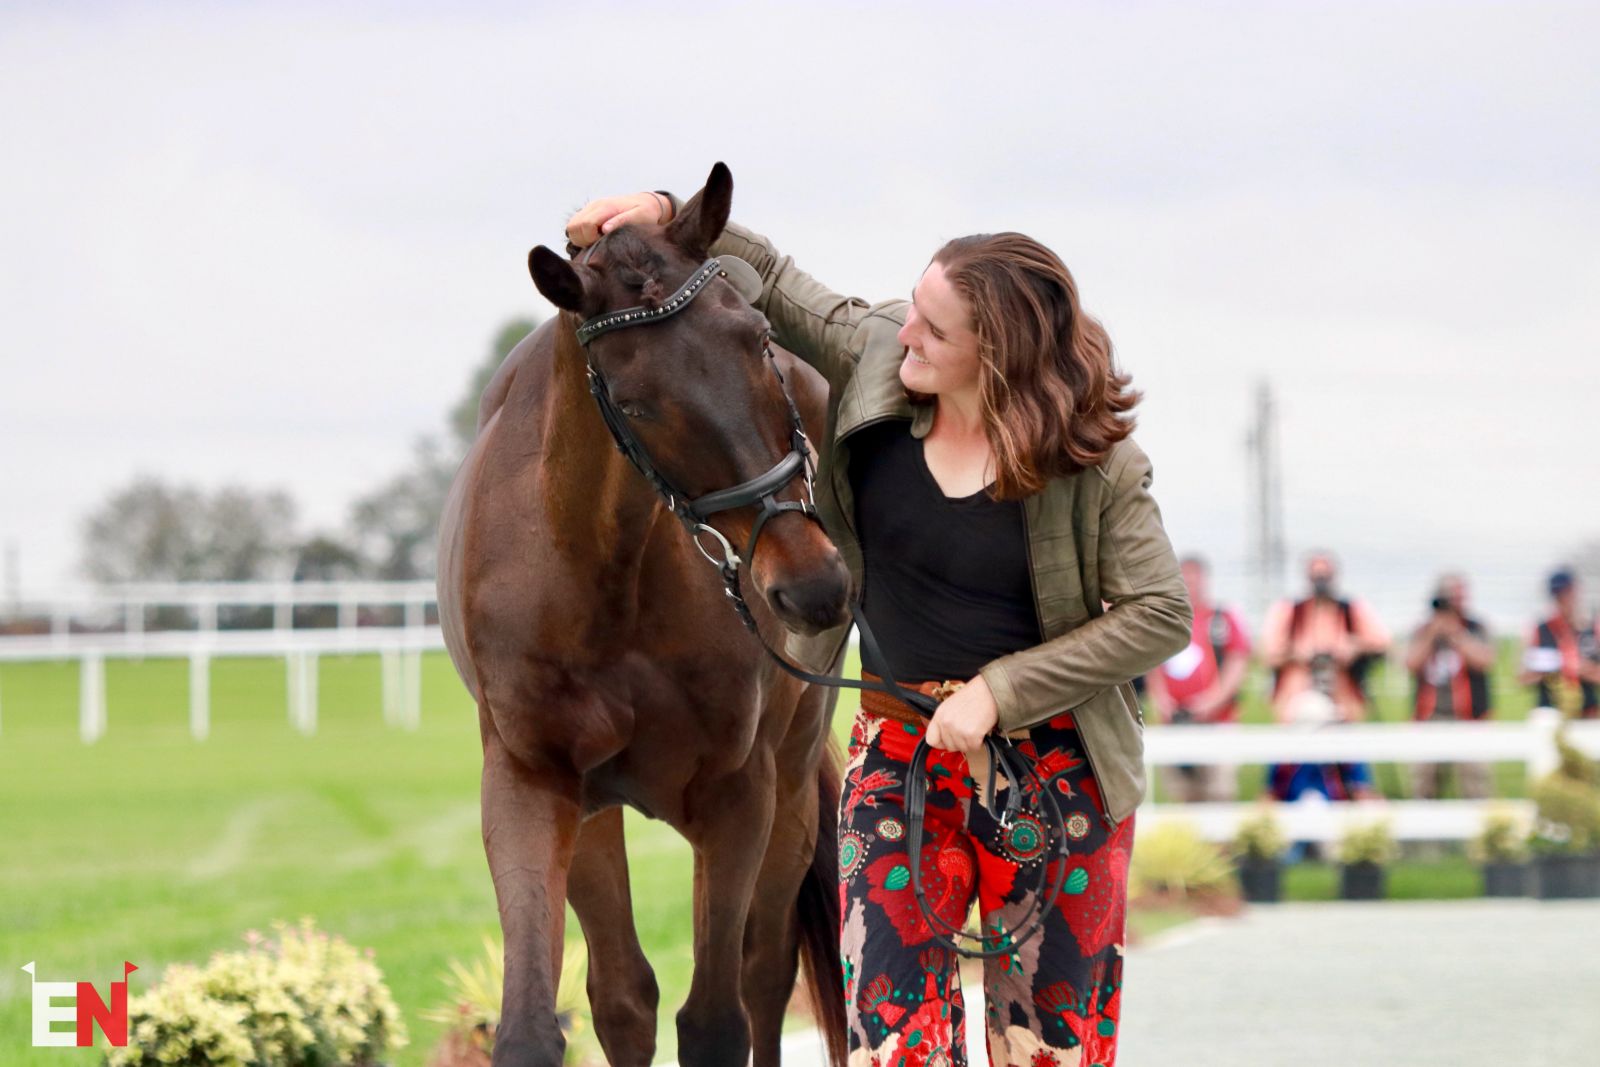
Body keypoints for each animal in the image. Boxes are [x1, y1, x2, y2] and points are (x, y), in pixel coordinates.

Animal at [437, 163, 851, 1067]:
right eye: (637, 401)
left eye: (757, 339)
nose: (811, 586)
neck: (604, 581)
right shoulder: (536, 782)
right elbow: (556, 1019)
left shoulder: (739, 793)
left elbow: (718, 1018)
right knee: (630, 994)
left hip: (792, 784)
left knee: (764, 971)